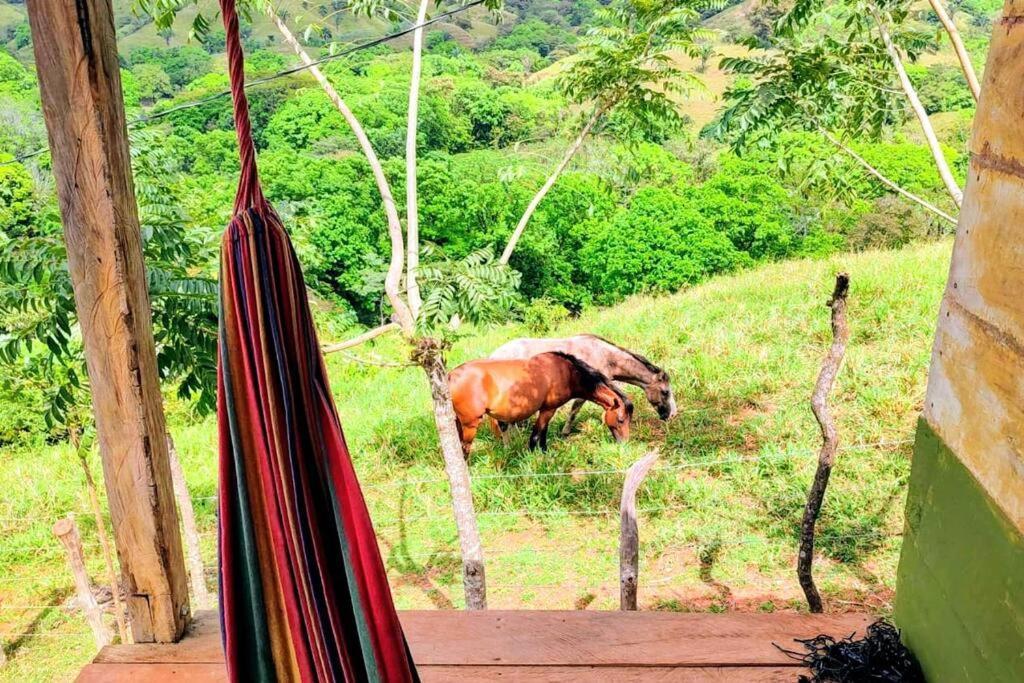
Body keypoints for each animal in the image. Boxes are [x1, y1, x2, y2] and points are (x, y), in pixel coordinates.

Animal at [448, 356, 630, 456]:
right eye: (621, 420)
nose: (625, 443)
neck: (567, 372)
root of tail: (450, 376)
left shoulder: (548, 409)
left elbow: (543, 433)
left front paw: (544, 451)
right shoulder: (548, 409)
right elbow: (536, 435)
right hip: (470, 425)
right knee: (464, 449)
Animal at [489, 333, 675, 436]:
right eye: (665, 392)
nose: (672, 415)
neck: (603, 354)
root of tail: (493, 356)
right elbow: (575, 410)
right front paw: (565, 432)